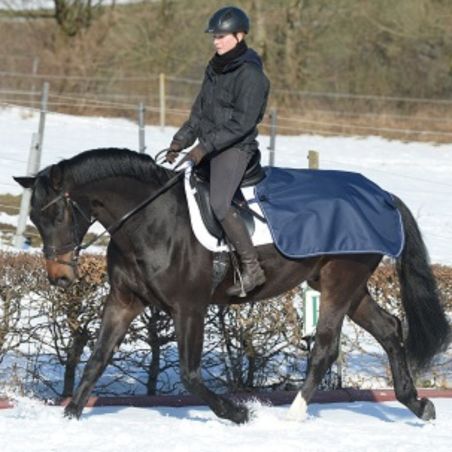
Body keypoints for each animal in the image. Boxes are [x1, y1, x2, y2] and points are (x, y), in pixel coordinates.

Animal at [13, 147, 448, 424]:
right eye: (34, 218)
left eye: (57, 215)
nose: (59, 277)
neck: (149, 219)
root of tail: (382, 194)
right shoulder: (124, 301)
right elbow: (96, 359)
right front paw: (70, 415)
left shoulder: (190, 308)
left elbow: (190, 374)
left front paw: (237, 412)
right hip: (347, 284)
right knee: (390, 329)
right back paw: (417, 404)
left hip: (341, 280)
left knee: (325, 347)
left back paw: (292, 415)